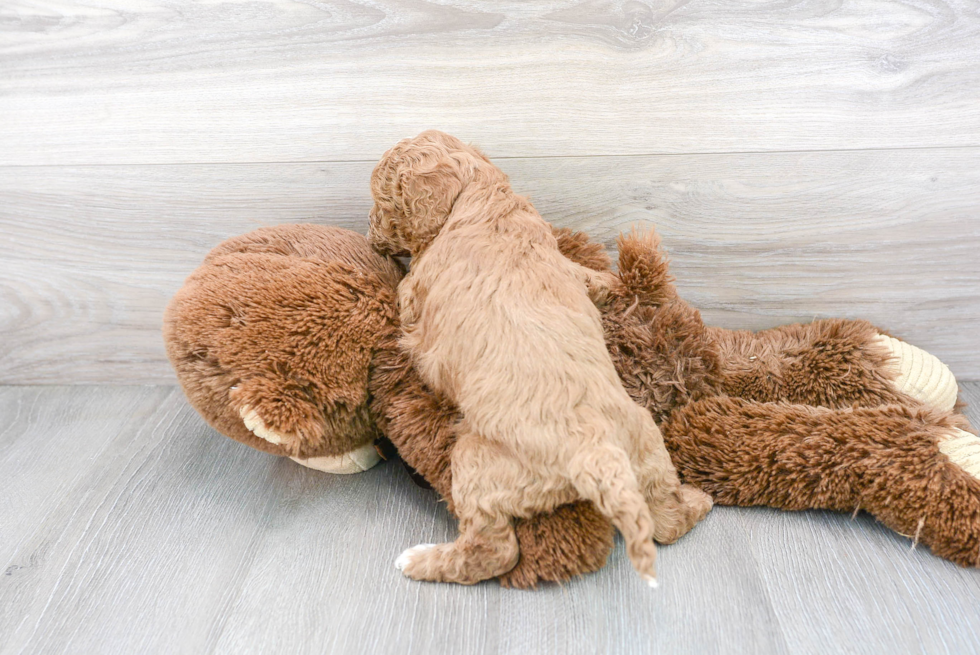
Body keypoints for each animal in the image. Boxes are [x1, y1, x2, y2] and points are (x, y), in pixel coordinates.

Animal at [368, 131, 712, 588]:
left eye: (382, 200)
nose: (369, 234)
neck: (481, 198)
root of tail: (597, 453)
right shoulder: (566, 265)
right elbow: (594, 279)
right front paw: (614, 285)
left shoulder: (414, 293)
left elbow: (403, 302)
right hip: (647, 448)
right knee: (666, 523)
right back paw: (699, 501)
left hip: (477, 463)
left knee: (495, 551)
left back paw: (419, 560)